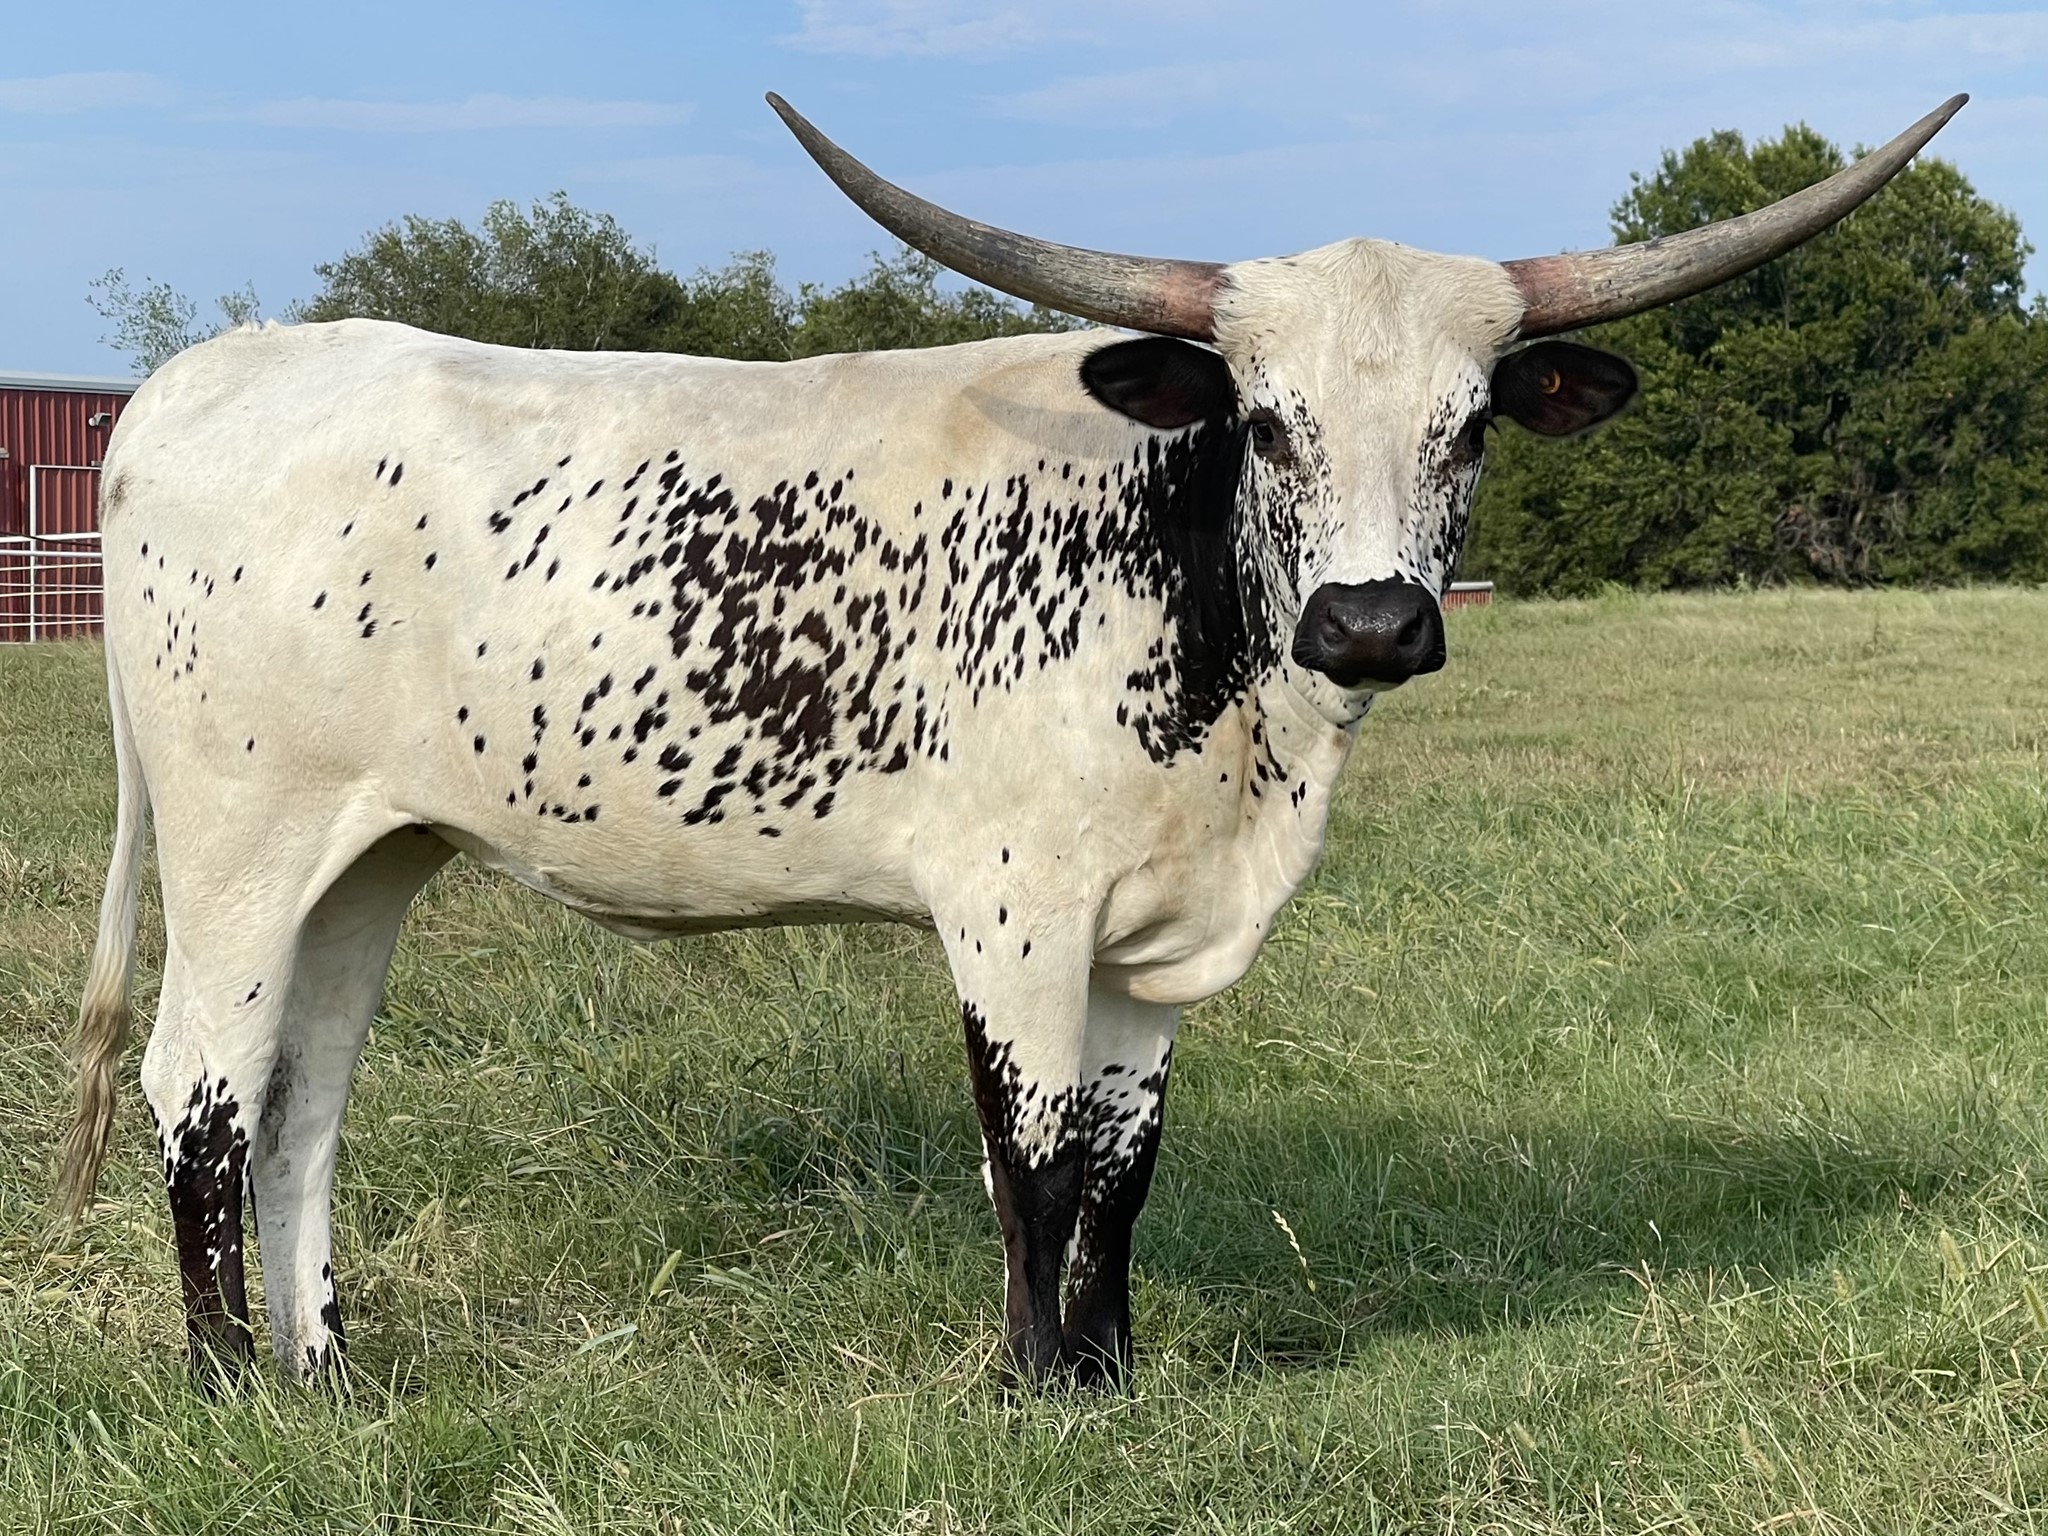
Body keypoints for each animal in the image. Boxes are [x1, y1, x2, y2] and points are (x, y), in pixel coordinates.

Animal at [58, 93, 1962, 1389]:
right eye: (1268, 422)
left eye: (1471, 423)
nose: (1368, 622)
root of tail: (188, 387)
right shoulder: (1014, 909)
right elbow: (1034, 1155)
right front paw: (1034, 1385)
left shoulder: (1147, 935)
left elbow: (1122, 1163)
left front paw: (1112, 1375)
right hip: (237, 848)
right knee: (200, 1087)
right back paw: (230, 1379)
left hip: (368, 858)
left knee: (304, 1100)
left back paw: (329, 1371)